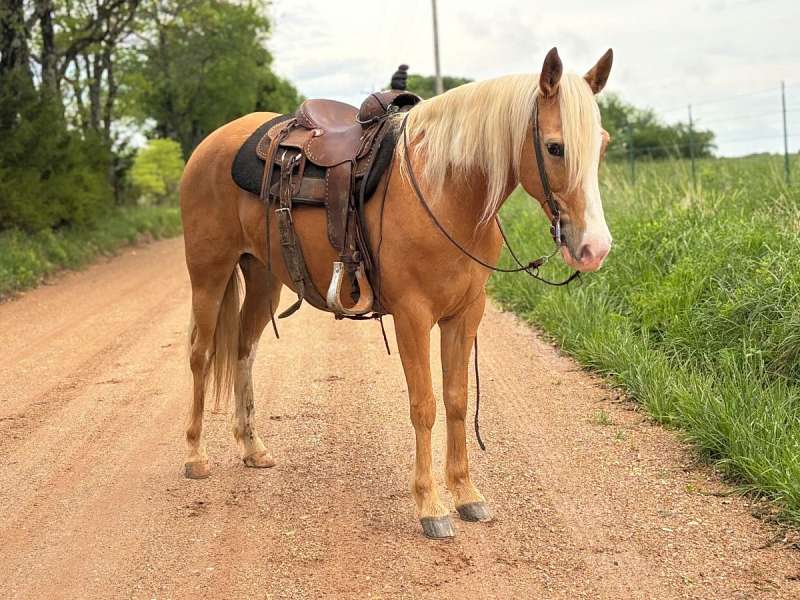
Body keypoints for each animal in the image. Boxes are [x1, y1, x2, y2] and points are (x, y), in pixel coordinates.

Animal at [179, 47, 614, 539]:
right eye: (555, 147)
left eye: (602, 144)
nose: (595, 248)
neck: (446, 191)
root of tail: (212, 143)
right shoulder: (413, 316)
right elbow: (424, 406)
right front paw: (431, 506)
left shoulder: (466, 314)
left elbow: (456, 399)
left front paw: (467, 495)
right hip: (209, 272)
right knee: (201, 354)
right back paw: (195, 455)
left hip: (263, 278)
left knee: (242, 352)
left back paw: (252, 448)